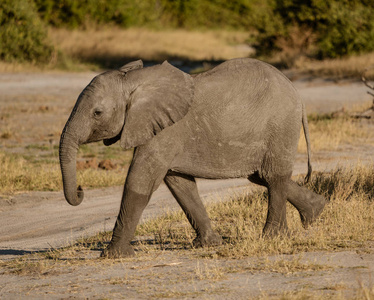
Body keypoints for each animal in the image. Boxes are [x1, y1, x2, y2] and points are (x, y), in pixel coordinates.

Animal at [60, 58, 326, 258]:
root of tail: (297, 94)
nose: (81, 190)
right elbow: (180, 184)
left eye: (97, 113)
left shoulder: (165, 131)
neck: (137, 81)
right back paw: (315, 212)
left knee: (273, 177)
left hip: (280, 125)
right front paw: (208, 244)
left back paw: (273, 236)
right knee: (262, 177)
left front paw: (113, 255)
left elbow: (140, 182)